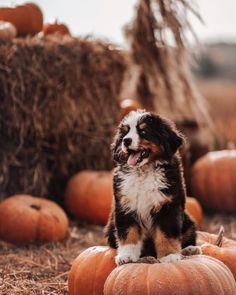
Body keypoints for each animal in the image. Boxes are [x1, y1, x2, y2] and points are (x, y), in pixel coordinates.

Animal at [106, 109, 196, 266]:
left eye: (143, 131)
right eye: (125, 133)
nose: (125, 141)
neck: (144, 171)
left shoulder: (167, 205)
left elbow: (166, 233)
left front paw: (169, 255)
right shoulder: (125, 206)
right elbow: (128, 233)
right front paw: (126, 256)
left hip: (188, 222)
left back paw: (190, 250)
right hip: (111, 228)